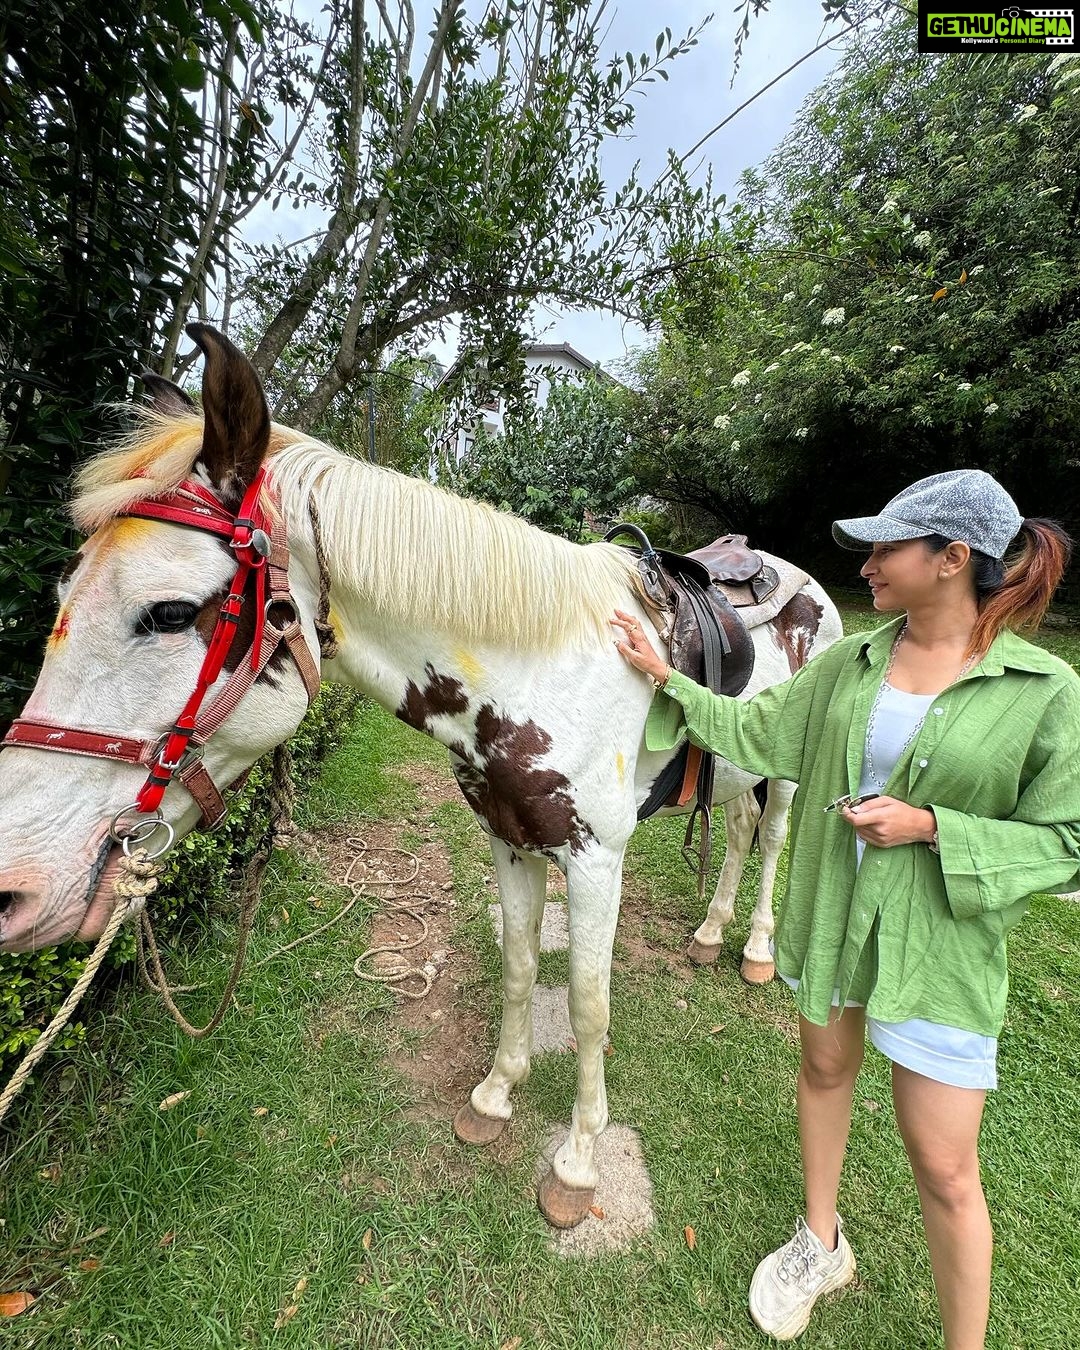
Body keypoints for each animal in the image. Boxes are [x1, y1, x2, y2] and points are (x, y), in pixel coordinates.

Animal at [0, 326, 842, 1228]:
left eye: (167, 613)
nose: (16, 888)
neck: (538, 669)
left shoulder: (595, 863)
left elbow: (588, 1007)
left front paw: (578, 1163)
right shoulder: (511, 843)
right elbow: (519, 965)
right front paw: (495, 1097)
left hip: (793, 775)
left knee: (773, 840)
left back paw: (754, 949)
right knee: (740, 832)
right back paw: (711, 933)